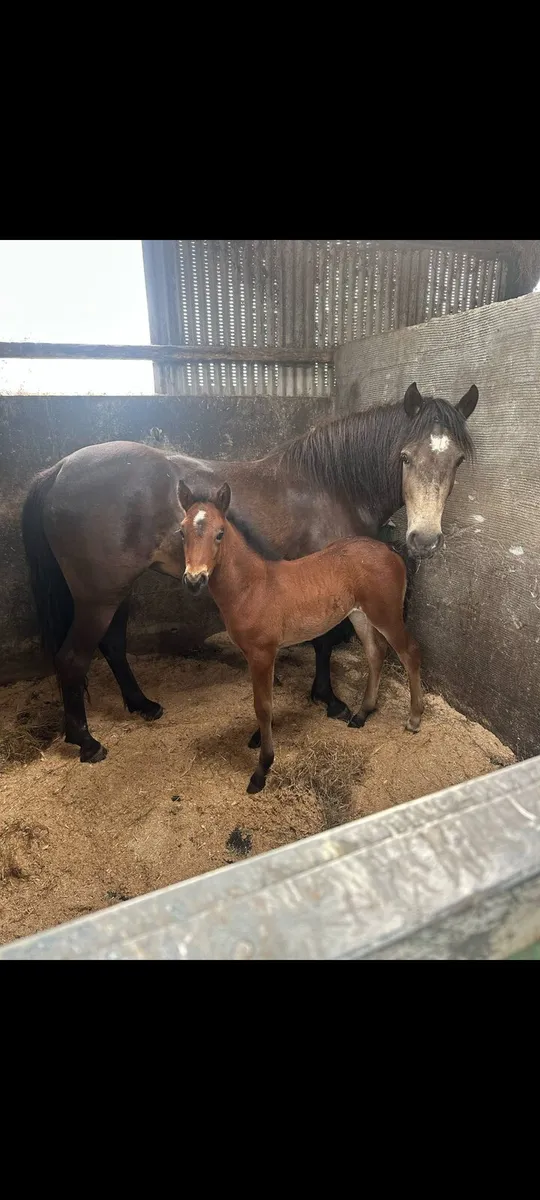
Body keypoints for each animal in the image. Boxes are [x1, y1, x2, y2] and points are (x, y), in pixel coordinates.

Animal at [179, 482, 424, 793]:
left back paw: (414, 718)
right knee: (375, 652)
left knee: (409, 652)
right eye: (181, 532)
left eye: (220, 533)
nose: (193, 580)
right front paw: (258, 741)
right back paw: (362, 713)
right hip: (359, 614)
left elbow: (263, 706)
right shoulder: (255, 655)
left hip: (386, 614)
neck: (252, 587)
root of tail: (391, 551)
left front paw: (262, 769)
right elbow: (264, 701)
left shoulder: (262, 653)